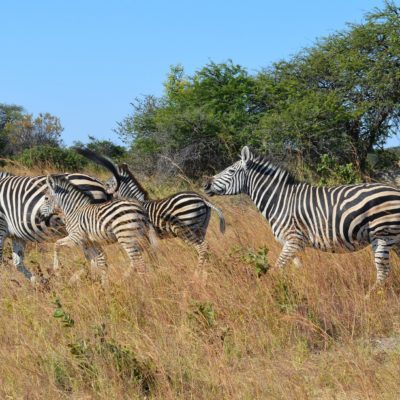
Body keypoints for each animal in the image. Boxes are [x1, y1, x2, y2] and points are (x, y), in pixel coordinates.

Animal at [206, 145, 400, 290]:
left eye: (231, 171)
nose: (206, 184)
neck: (280, 200)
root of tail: (395, 189)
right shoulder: (293, 244)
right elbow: (298, 269)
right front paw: (303, 289)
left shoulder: (293, 239)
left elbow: (278, 268)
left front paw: (277, 290)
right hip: (393, 238)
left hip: (382, 235)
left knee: (383, 271)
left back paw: (368, 297)